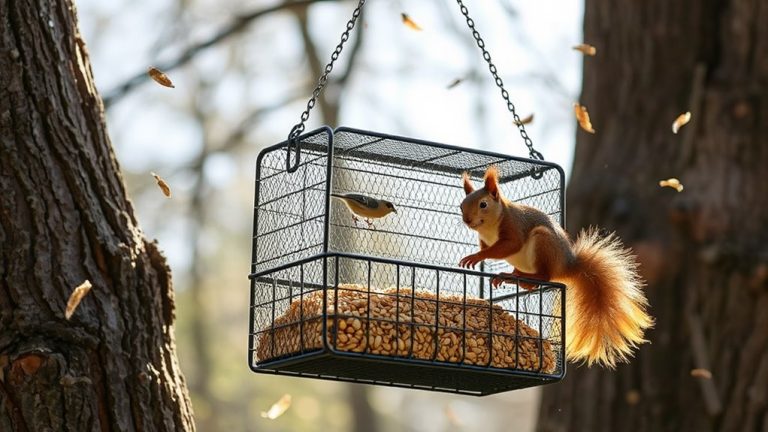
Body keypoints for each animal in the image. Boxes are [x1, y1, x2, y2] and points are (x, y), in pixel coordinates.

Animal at [458, 166, 653, 368]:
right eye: (461, 206)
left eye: (483, 204)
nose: (467, 220)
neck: (488, 228)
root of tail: (566, 265)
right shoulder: (484, 239)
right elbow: (487, 247)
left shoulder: (514, 227)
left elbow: (509, 245)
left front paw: (475, 257)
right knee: (529, 279)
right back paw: (511, 277)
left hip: (542, 241)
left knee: (544, 276)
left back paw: (517, 276)